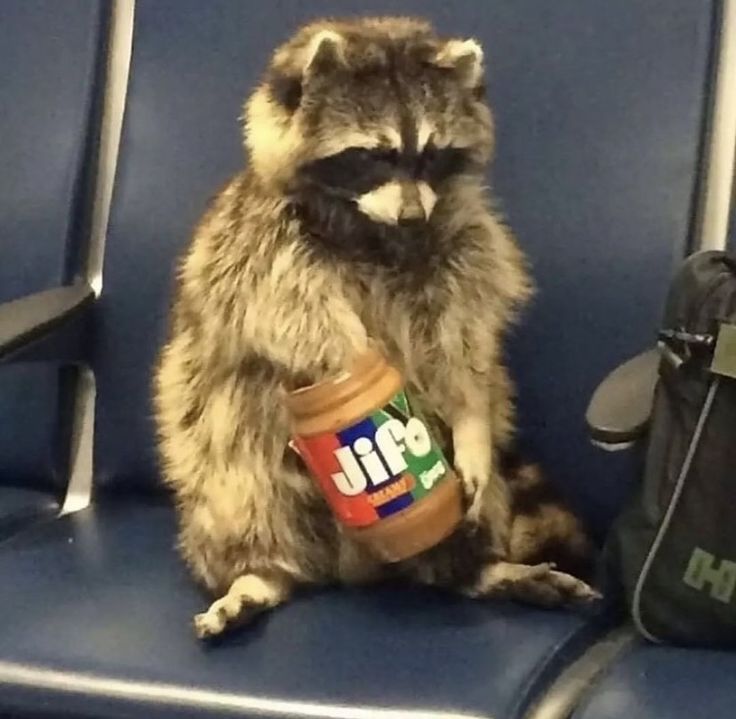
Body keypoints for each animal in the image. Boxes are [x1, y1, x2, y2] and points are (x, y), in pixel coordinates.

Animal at [154, 15, 600, 640]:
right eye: (374, 156)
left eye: (432, 155)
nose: (413, 214)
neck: (371, 227)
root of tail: (352, 570)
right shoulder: (262, 247)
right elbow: (302, 330)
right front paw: (359, 381)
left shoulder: (463, 241)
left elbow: (464, 341)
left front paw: (467, 415)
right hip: (223, 465)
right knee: (238, 489)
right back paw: (259, 572)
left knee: (473, 514)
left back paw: (475, 569)